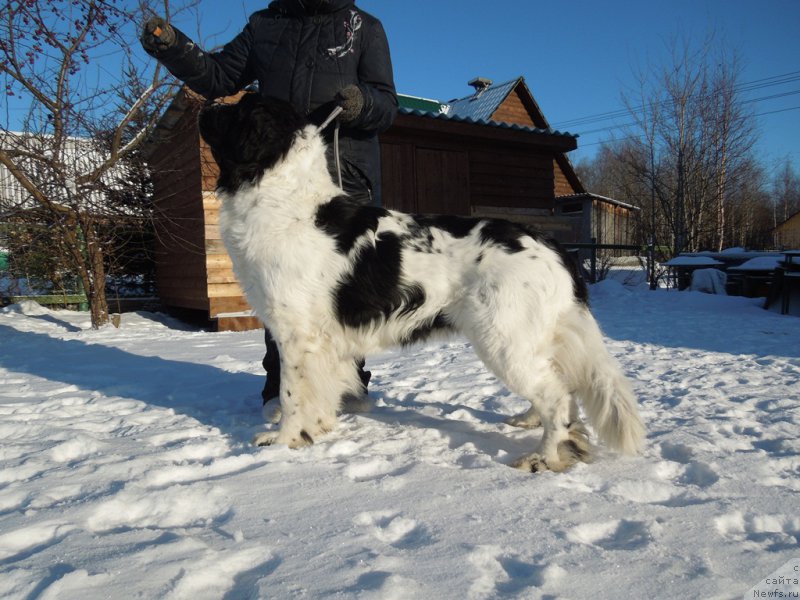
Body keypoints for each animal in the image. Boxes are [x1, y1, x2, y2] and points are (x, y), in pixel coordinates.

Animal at [200, 94, 644, 474]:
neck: (287, 200)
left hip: (503, 340)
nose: (207, 106)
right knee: (559, 388)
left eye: (237, 110)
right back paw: (528, 420)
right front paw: (317, 429)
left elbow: (292, 394)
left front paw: (283, 441)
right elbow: (318, 394)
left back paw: (543, 457)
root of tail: (550, 244)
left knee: (556, 396)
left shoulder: (296, 334)